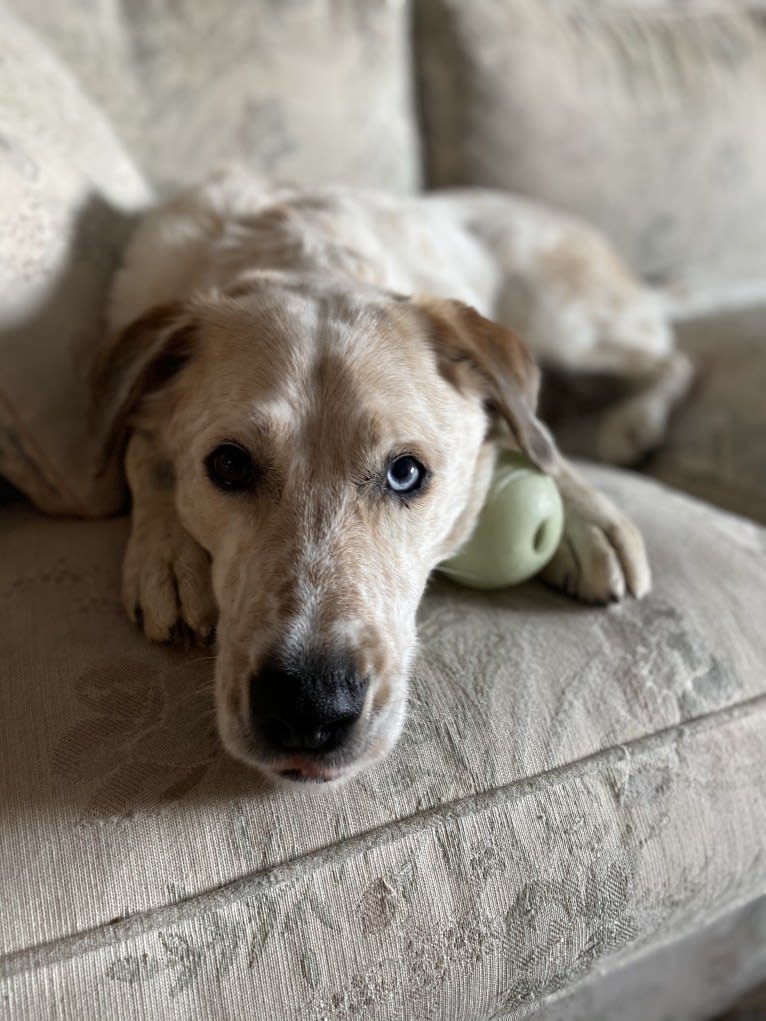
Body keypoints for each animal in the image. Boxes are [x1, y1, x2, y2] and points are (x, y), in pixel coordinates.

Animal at [92, 169, 694, 788]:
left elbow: (535, 440)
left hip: (563, 321)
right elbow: (138, 445)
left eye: (405, 473)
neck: (308, 256)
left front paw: (592, 516)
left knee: (670, 361)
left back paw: (631, 426)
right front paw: (168, 557)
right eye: (229, 465)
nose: (307, 708)